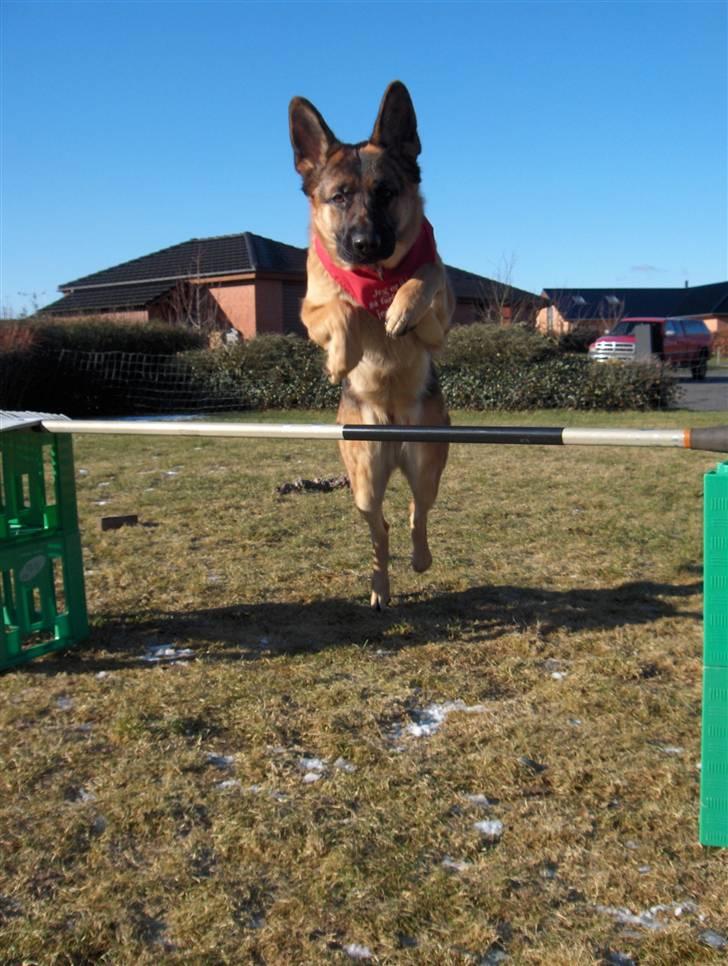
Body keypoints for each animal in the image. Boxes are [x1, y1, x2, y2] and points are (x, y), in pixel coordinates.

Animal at [288, 85, 452, 612]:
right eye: (339, 197)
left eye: (385, 193)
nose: (364, 243)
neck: (377, 275)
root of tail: (395, 432)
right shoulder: (310, 311)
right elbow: (344, 308)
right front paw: (343, 357)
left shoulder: (439, 319)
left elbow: (427, 272)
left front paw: (399, 310)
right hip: (363, 481)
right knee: (379, 527)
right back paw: (380, 586)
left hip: (426, 466)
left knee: (416, 514)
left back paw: (419, 559)